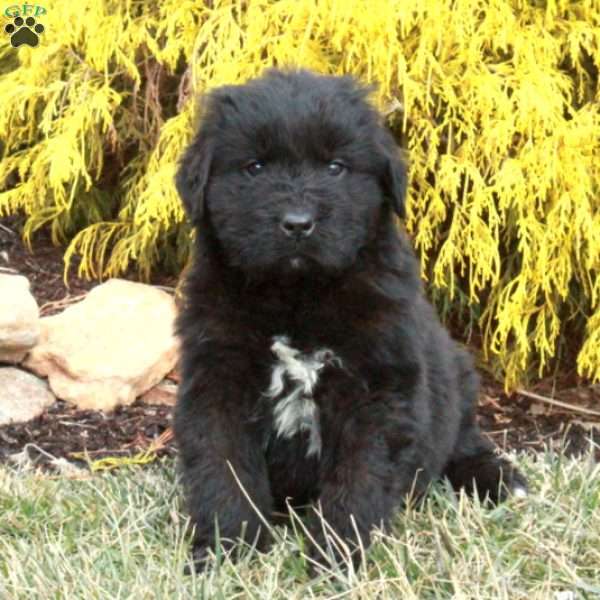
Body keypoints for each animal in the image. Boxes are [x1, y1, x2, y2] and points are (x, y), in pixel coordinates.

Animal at [172, 68, 524, 568]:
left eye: (335, 167)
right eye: (254, 167)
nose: (298, 223)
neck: (297, 295)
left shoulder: (378, 387)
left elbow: (360, 477)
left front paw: (336, 554)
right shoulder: (217, 376)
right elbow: (222, 466)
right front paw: (228, 548)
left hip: (456, 373)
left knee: (462, 440)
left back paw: (497, 478)